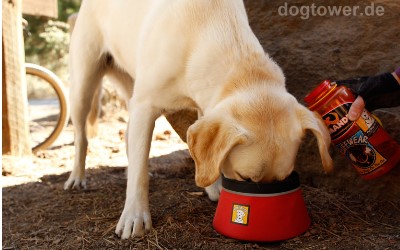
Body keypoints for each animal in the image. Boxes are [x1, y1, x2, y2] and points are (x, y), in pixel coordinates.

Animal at [66, 0, 334, 240]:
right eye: (245, 178)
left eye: (282, 179)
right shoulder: (146, 105)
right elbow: (139, 176)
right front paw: (135, 216)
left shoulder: (203, 106)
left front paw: (212, 186)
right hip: (84, 87)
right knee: (82, 137)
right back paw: (77, 177)